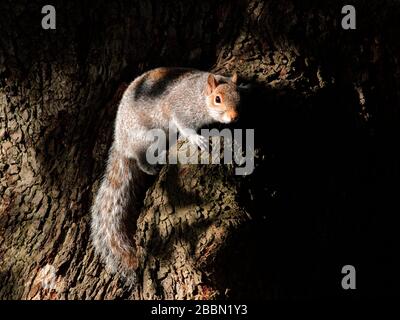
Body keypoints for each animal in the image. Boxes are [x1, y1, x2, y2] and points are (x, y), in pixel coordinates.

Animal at [90, 67, 241, 282]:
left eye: (239, 96)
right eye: (217, 99)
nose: (234, 117)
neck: (199, 95)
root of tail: (121, 142)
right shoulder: (179, 108)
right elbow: (183, 125)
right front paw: (197, 139)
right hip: (145, 137)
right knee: (141, 159)